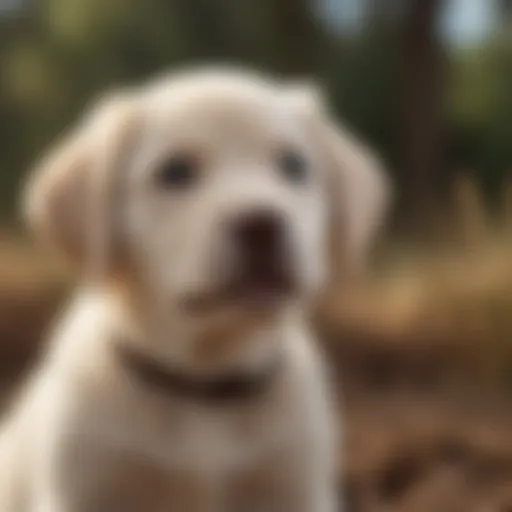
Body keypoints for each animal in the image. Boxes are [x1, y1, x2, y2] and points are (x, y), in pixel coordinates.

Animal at [0, 68, 388, 512]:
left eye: (294, 166)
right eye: (175, 172)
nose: (262, 222)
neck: (205, 382)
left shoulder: (297, 488)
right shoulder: (80, 490)